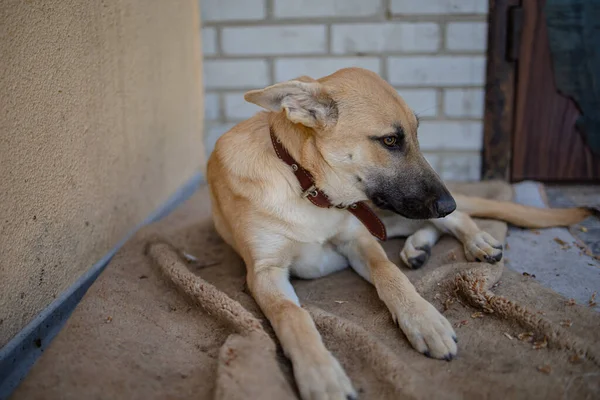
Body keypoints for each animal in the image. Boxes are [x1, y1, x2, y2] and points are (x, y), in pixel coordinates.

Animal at [205, 67, 592, 398]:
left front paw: (423, 319)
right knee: (426, 223)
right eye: (390, 140)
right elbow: (293, 316)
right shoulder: (264, 273)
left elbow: (390, 275)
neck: (308, 185)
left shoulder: (360, 238)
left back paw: (475, 239)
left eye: (416, 134)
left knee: (452, 218)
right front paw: (321, 374)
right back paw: (420, 245)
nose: (447, 202)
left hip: (388, 209)